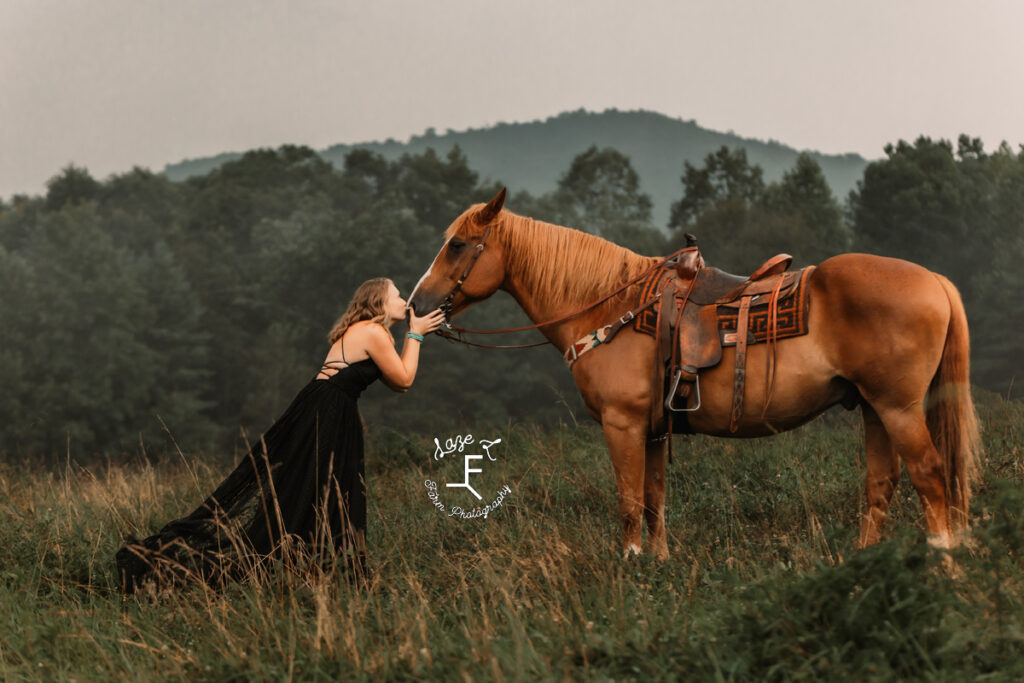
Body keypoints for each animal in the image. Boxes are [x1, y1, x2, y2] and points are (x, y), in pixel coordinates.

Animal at [403, 188, 978, 561]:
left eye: (457, 245)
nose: (416, 305)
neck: (609, 306)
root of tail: (935, 280)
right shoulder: (655, 430)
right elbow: (655, 500)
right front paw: (658, 564)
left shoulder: (623, 424)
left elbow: (629, 501)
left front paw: (632, 565)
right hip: (875, 410)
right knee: (882, 486)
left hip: (899, 409)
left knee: (930, 476)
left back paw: (941, 559)